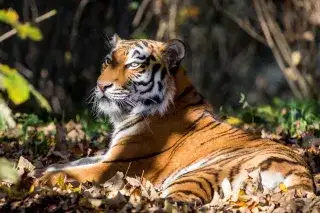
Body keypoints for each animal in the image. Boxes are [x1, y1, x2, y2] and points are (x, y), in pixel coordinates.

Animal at [41, 34, 314, 204]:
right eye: (109, 60)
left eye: (133, 65)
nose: (101, 85)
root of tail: (303, 176)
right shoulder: (108, 155)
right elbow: (73, 162)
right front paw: (42, 168)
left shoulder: (118, 164)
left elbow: (73, 173)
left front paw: (41, 178)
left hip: (196, 175)